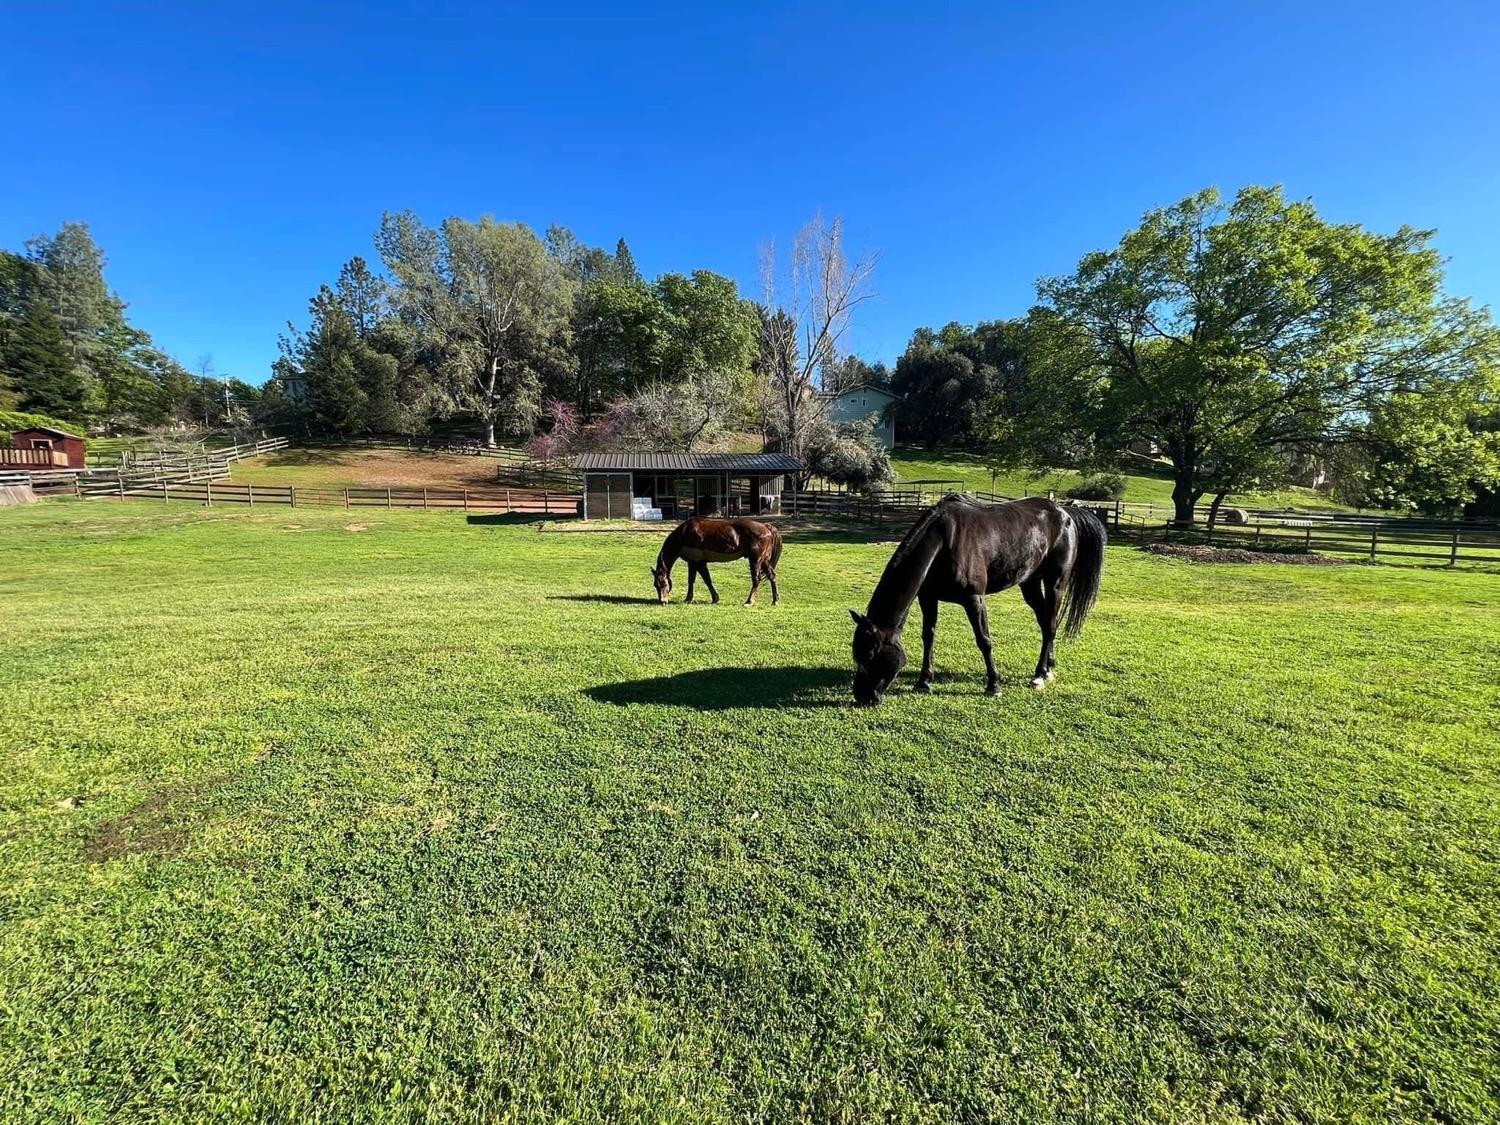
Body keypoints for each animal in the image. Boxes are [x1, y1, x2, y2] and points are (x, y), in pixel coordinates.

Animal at [648, 519, 786, 609]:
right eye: (655, 585)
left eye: (664, 583)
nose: (663, 601)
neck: (684, 534)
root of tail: (766, 526)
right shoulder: (695, 563)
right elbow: (697, 580)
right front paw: (694, 598)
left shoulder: (697, 562)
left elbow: (703, 580)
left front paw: (697, 598)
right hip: (764, 561)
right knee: (772, 576)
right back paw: (775, 600)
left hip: (756, 560)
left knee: (756, 580)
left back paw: (749, 601)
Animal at [852, 495, 1110, 705]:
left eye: (871, 655)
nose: (862, 697)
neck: (944, 541)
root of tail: (1065, 512)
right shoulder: (928, 598)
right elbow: (928, 636)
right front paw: (924, 681)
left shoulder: (974, 599)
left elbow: (984, 640)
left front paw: (993, 685)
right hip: (1029, 583)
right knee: (1046, 622)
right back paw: (1049, 666)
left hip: (1056, 583)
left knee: (1050, 625)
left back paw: (1039, 675)